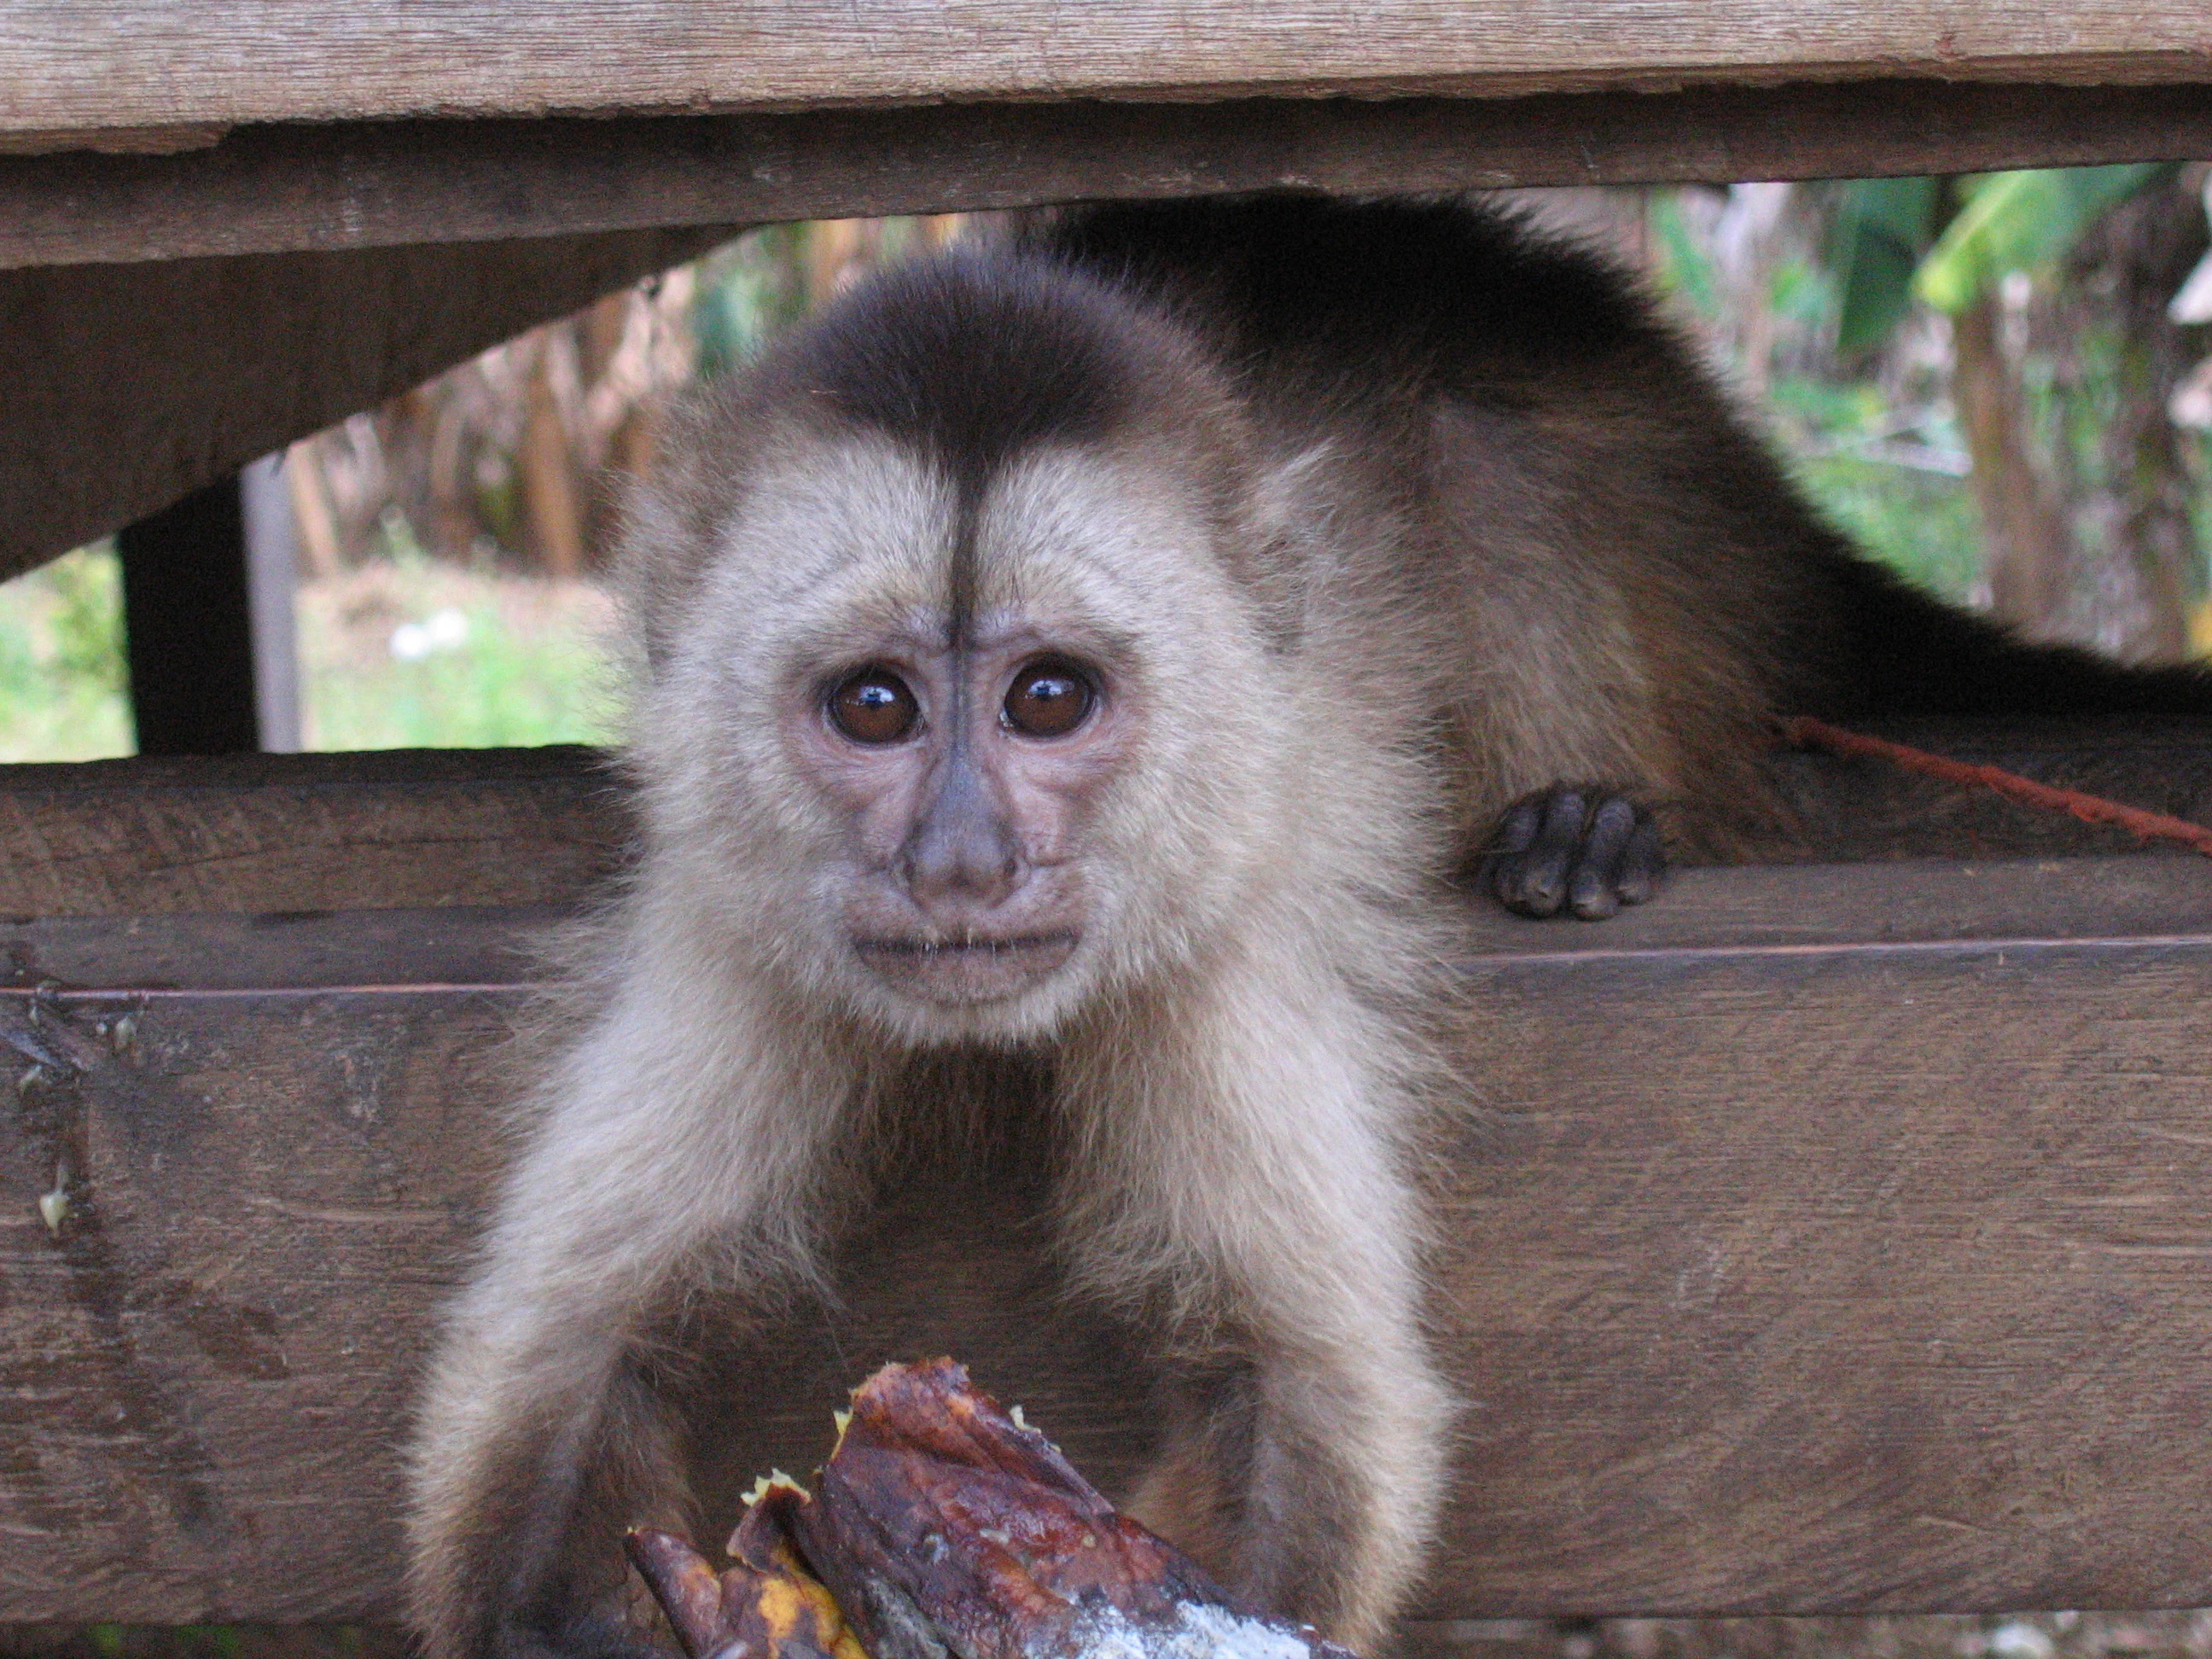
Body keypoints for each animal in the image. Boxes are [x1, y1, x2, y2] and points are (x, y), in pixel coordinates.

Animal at [405, 193, 2212, 1659]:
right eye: (872, 706)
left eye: (1048, 696)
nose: (964, 861)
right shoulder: (740, 916)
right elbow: (568, 1350)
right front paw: (584, 1619)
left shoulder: (1225, 924)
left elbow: (1301, 1386)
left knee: (1490, 447)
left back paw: (1578, 818)